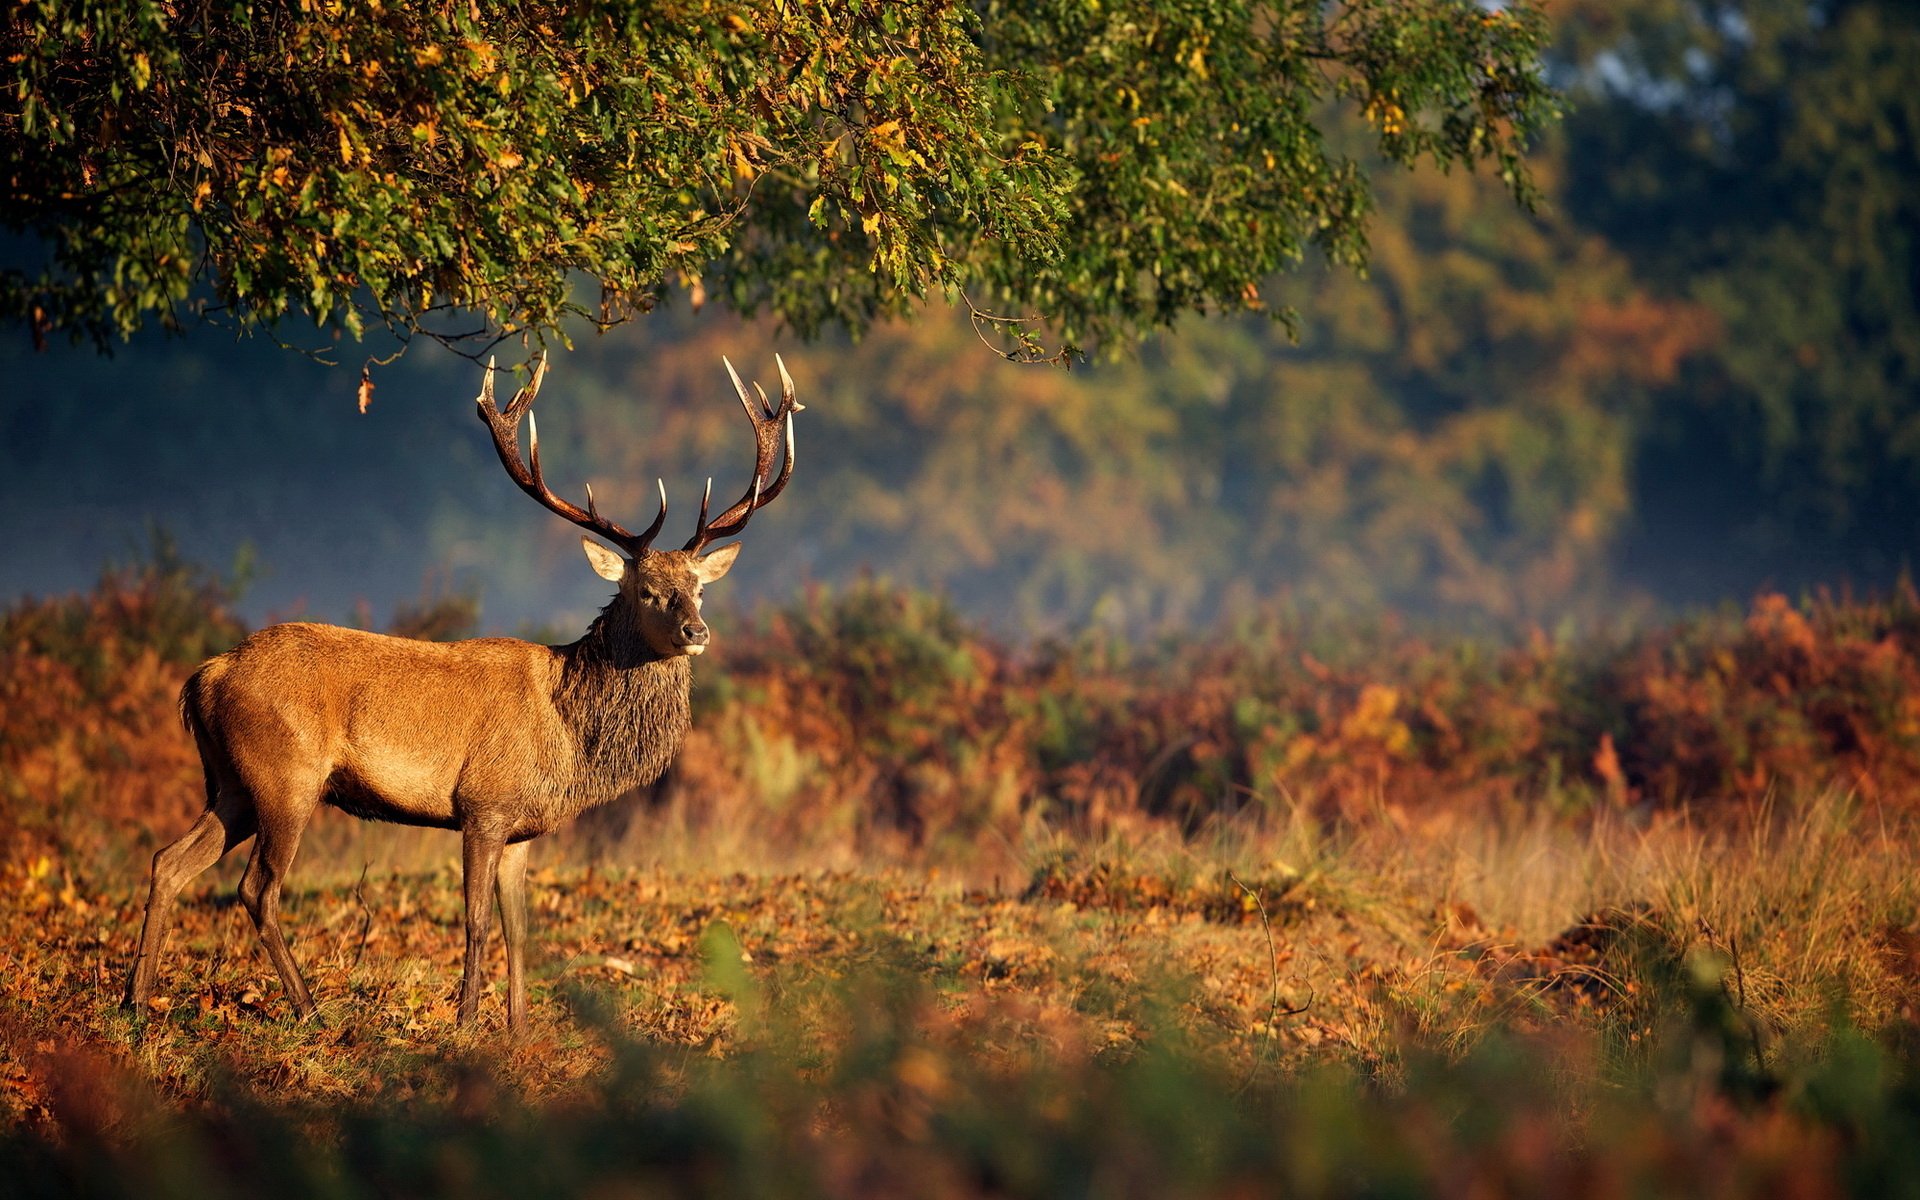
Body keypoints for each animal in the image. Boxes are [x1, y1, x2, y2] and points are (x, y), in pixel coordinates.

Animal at [125, 351, 802, 1021]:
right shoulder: (483, 805)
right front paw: (467, 1021)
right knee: (257, 889)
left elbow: (518, 930)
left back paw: (136, 1003)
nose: (696, 630)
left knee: (169, 861)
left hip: (233, 783)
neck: (568, 735)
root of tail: (205, 677)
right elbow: (475, 922)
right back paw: (309, 1009)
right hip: (285, 775)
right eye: (647, 590)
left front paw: (519, 1028)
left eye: (700, 587)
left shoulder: (523, 828)